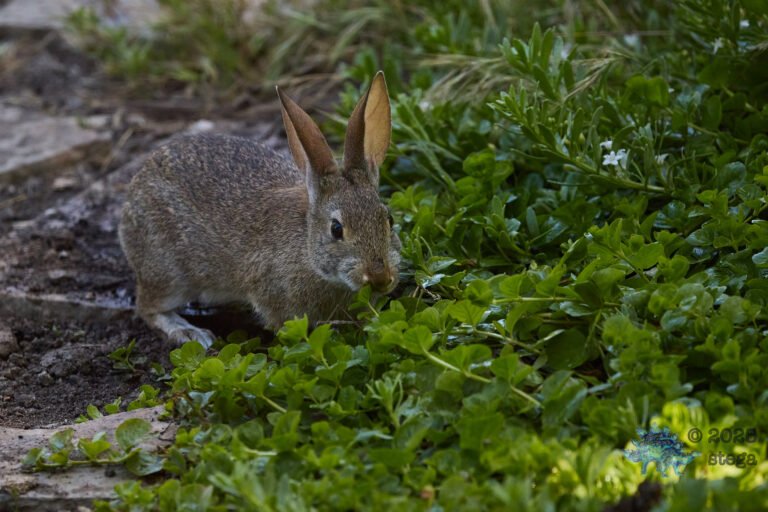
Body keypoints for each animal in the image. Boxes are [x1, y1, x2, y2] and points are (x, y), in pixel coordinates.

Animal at [118, 72, 401, 349]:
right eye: (336, 229)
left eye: (389, 219)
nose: (379, 277)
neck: (307, 250)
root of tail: (134, 191)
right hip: (168, 270)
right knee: (148, 306)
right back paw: (190, 333)